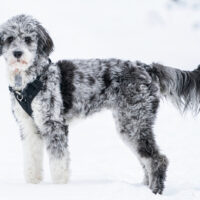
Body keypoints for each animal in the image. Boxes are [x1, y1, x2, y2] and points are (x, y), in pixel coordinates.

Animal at [0, 14, 198, 195]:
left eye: (28, 38)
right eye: (9, 38)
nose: (17, 53)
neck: (31, 80)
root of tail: (147, 68)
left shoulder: (54, 125)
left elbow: (59, 163)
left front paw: (59, 188)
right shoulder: (29, 126)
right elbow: (31, 157)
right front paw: (33, 183)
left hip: (134, 123)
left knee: (157, 159)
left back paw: (155, 191)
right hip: (131, 123)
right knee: (146, 160)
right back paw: (143, 188)